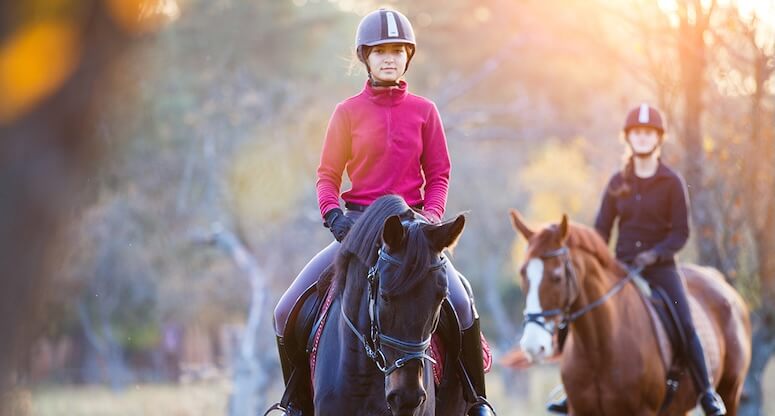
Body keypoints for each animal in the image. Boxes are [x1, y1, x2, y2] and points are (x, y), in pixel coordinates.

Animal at [510, 211, 752, 416]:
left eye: (557, 277)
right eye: (523, 273)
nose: (533, 346)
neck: (598, 348)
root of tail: (722, 284)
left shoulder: (642, 411)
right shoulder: (580, 411)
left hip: (731, 391)